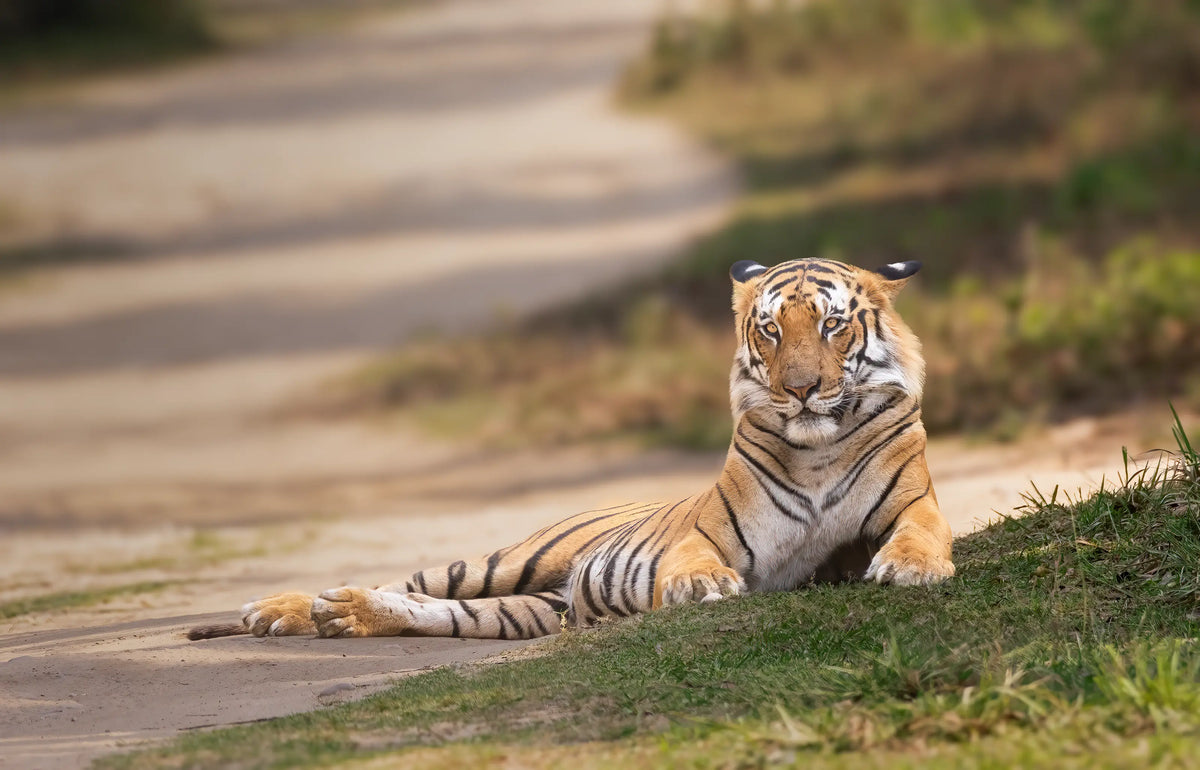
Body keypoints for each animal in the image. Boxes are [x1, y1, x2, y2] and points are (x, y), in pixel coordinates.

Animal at [188, 258, 954, 642]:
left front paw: (911, 568)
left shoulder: (911, 505)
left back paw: (344, 615)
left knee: (433, 612)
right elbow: (695, 558)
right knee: (410, 583)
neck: (816, 446)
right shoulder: (711, 531)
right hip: (501, 562)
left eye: (831, 326)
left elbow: (919, 533)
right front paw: (699, 586)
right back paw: (286, 610)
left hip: (526, 609)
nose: (799, 389)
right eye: (769, 330)